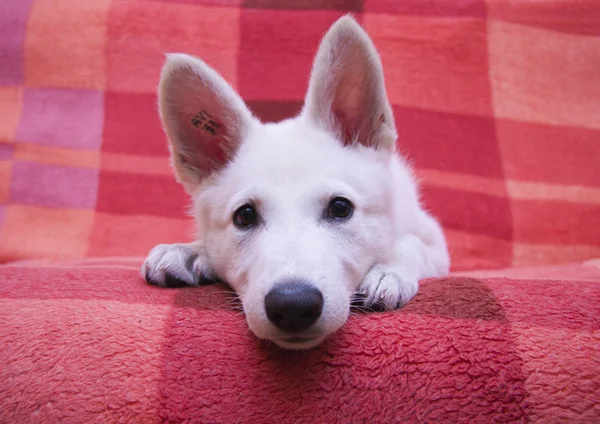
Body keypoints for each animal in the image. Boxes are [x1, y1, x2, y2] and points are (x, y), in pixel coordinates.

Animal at [142, 14, 450, 350]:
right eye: (244, 216)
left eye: (340, 208)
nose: (292, 306)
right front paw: (190, 250)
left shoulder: (436, 244)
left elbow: (411, 244)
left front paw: (388, 271)